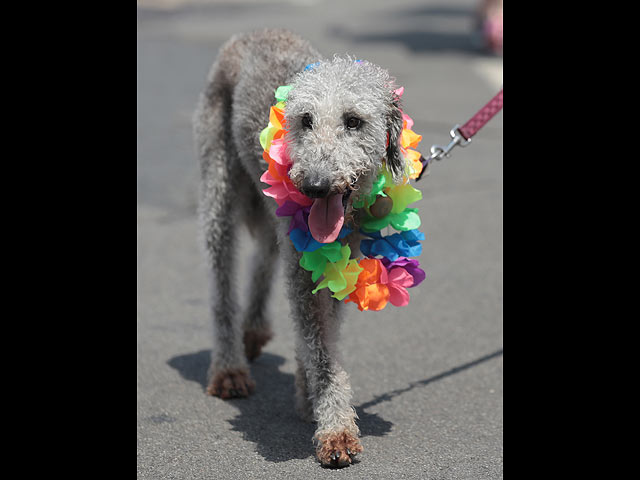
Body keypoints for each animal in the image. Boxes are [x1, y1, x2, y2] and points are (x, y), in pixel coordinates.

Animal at [192, 29, 408, 468]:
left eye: (354, 121)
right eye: (305, 120)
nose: (315, 185)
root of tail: (250, 34)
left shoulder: (338, 264)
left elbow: (325, 333)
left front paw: (311, 397)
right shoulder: (304, 267)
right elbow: (320, 348)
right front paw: (336, 430)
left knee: (264, 256)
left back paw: (254, 330)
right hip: (219, 179)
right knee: (222, 280)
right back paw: (228, 369)